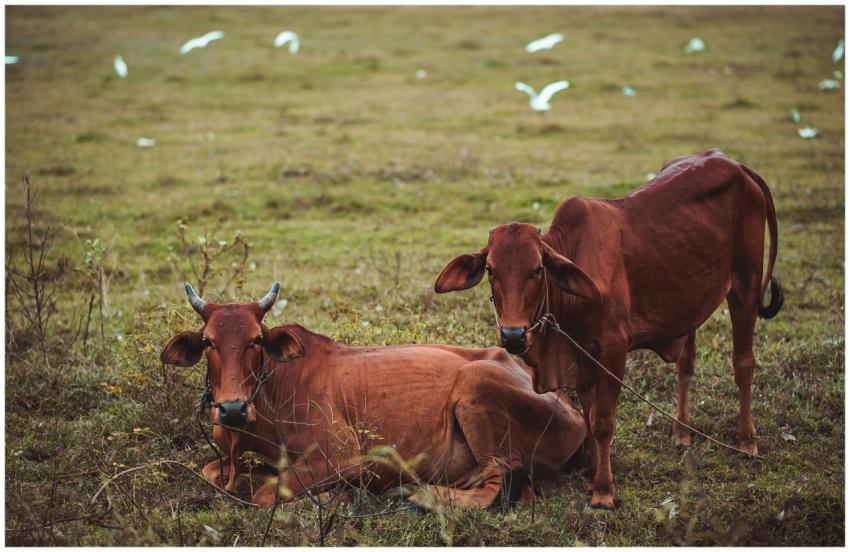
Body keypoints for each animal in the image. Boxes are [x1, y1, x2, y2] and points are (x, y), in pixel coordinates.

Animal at [161, 283, 587, 509]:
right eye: (208, 342)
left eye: (256, 340)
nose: (232, 408)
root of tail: (573, 410)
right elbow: (214, 473)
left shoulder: (343, 457)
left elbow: (266, 494)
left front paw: (331, 498)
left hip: (475, 384)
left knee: (499, 485)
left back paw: (420, 495)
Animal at [433, 149, 784, 509]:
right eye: (490, 269)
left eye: (537, 269)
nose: (513, 335)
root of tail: (736, 164)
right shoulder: (581, 355)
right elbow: (588, 414)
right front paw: (590, 471)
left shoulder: (613, 350)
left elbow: (602, 421)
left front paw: (603, 490)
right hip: (691, 299)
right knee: (687, 364)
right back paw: (682, 433)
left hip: (745, 284)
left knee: (743, 363)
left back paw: (747, 441)